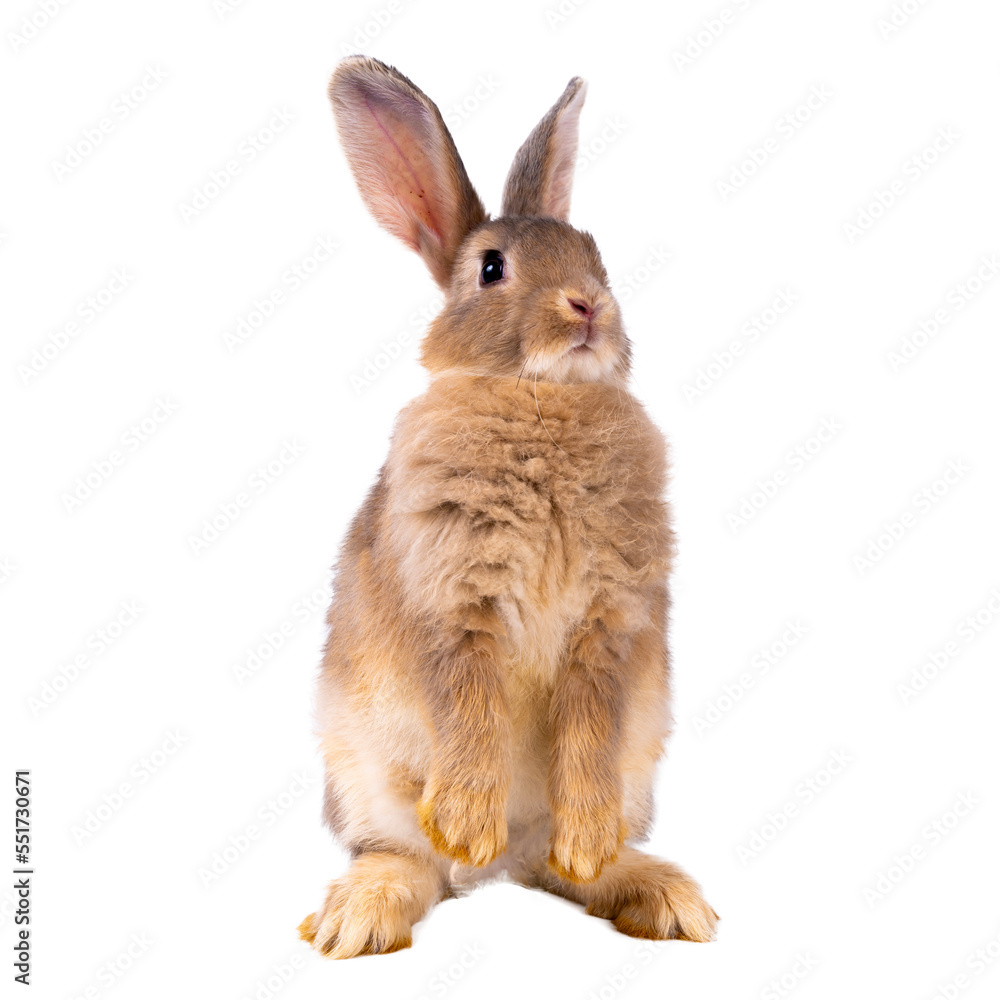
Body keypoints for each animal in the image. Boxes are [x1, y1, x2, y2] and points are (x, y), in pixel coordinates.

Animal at [298, 55, 718, 959]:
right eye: (492, 268)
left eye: (594, 254)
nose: (587, 305)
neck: (540, 396)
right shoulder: (458, 605)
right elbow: (471, 711)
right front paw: (464, 824)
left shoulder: (609, 623)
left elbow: (589, 729)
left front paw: (586, 839)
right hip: (363, 774)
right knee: (407, 860)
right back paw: (370, 911)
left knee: (566, 865)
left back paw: (653, 893)